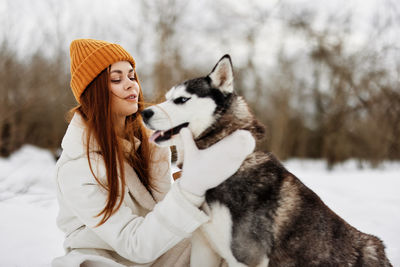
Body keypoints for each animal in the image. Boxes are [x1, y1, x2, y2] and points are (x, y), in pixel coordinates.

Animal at [141, 55, 390, 266]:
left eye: (181, 99)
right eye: (167, 98)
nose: (144, 113)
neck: (228, 167)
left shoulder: (245, 257)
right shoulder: (204, 248)